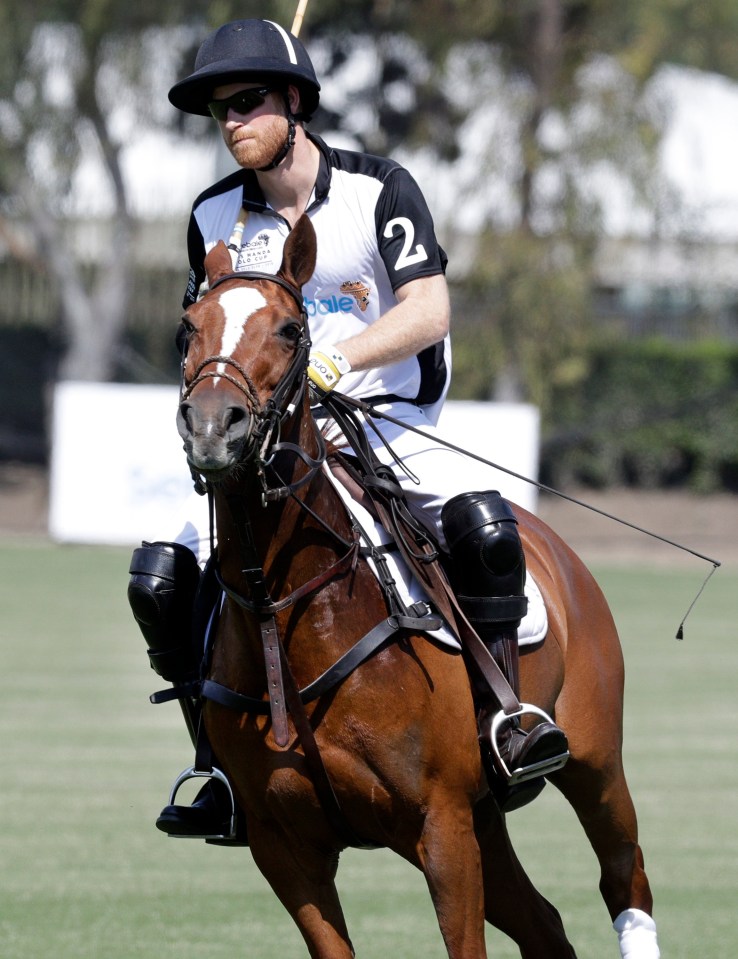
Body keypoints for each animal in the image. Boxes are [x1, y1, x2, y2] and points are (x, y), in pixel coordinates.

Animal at [175, 218, 660, 959]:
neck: (288, 608)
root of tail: (554, 547)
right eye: (189, 326)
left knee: (623, 876)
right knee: (546, 924)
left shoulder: (443, 823)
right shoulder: (281, 845)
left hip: (595, 759)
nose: (209, 425)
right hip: (490, 816)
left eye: (290, 329)